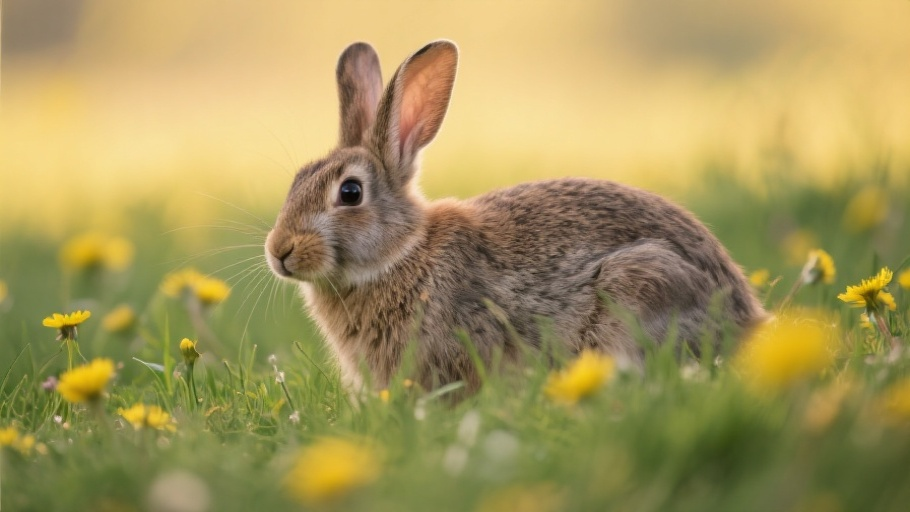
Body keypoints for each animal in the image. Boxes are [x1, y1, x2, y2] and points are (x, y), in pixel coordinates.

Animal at [265, 40, 766, 392]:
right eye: (295, 181)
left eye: (350, 193)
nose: (279, 250)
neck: (402, 254)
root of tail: (749, 321)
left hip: (639, 284)